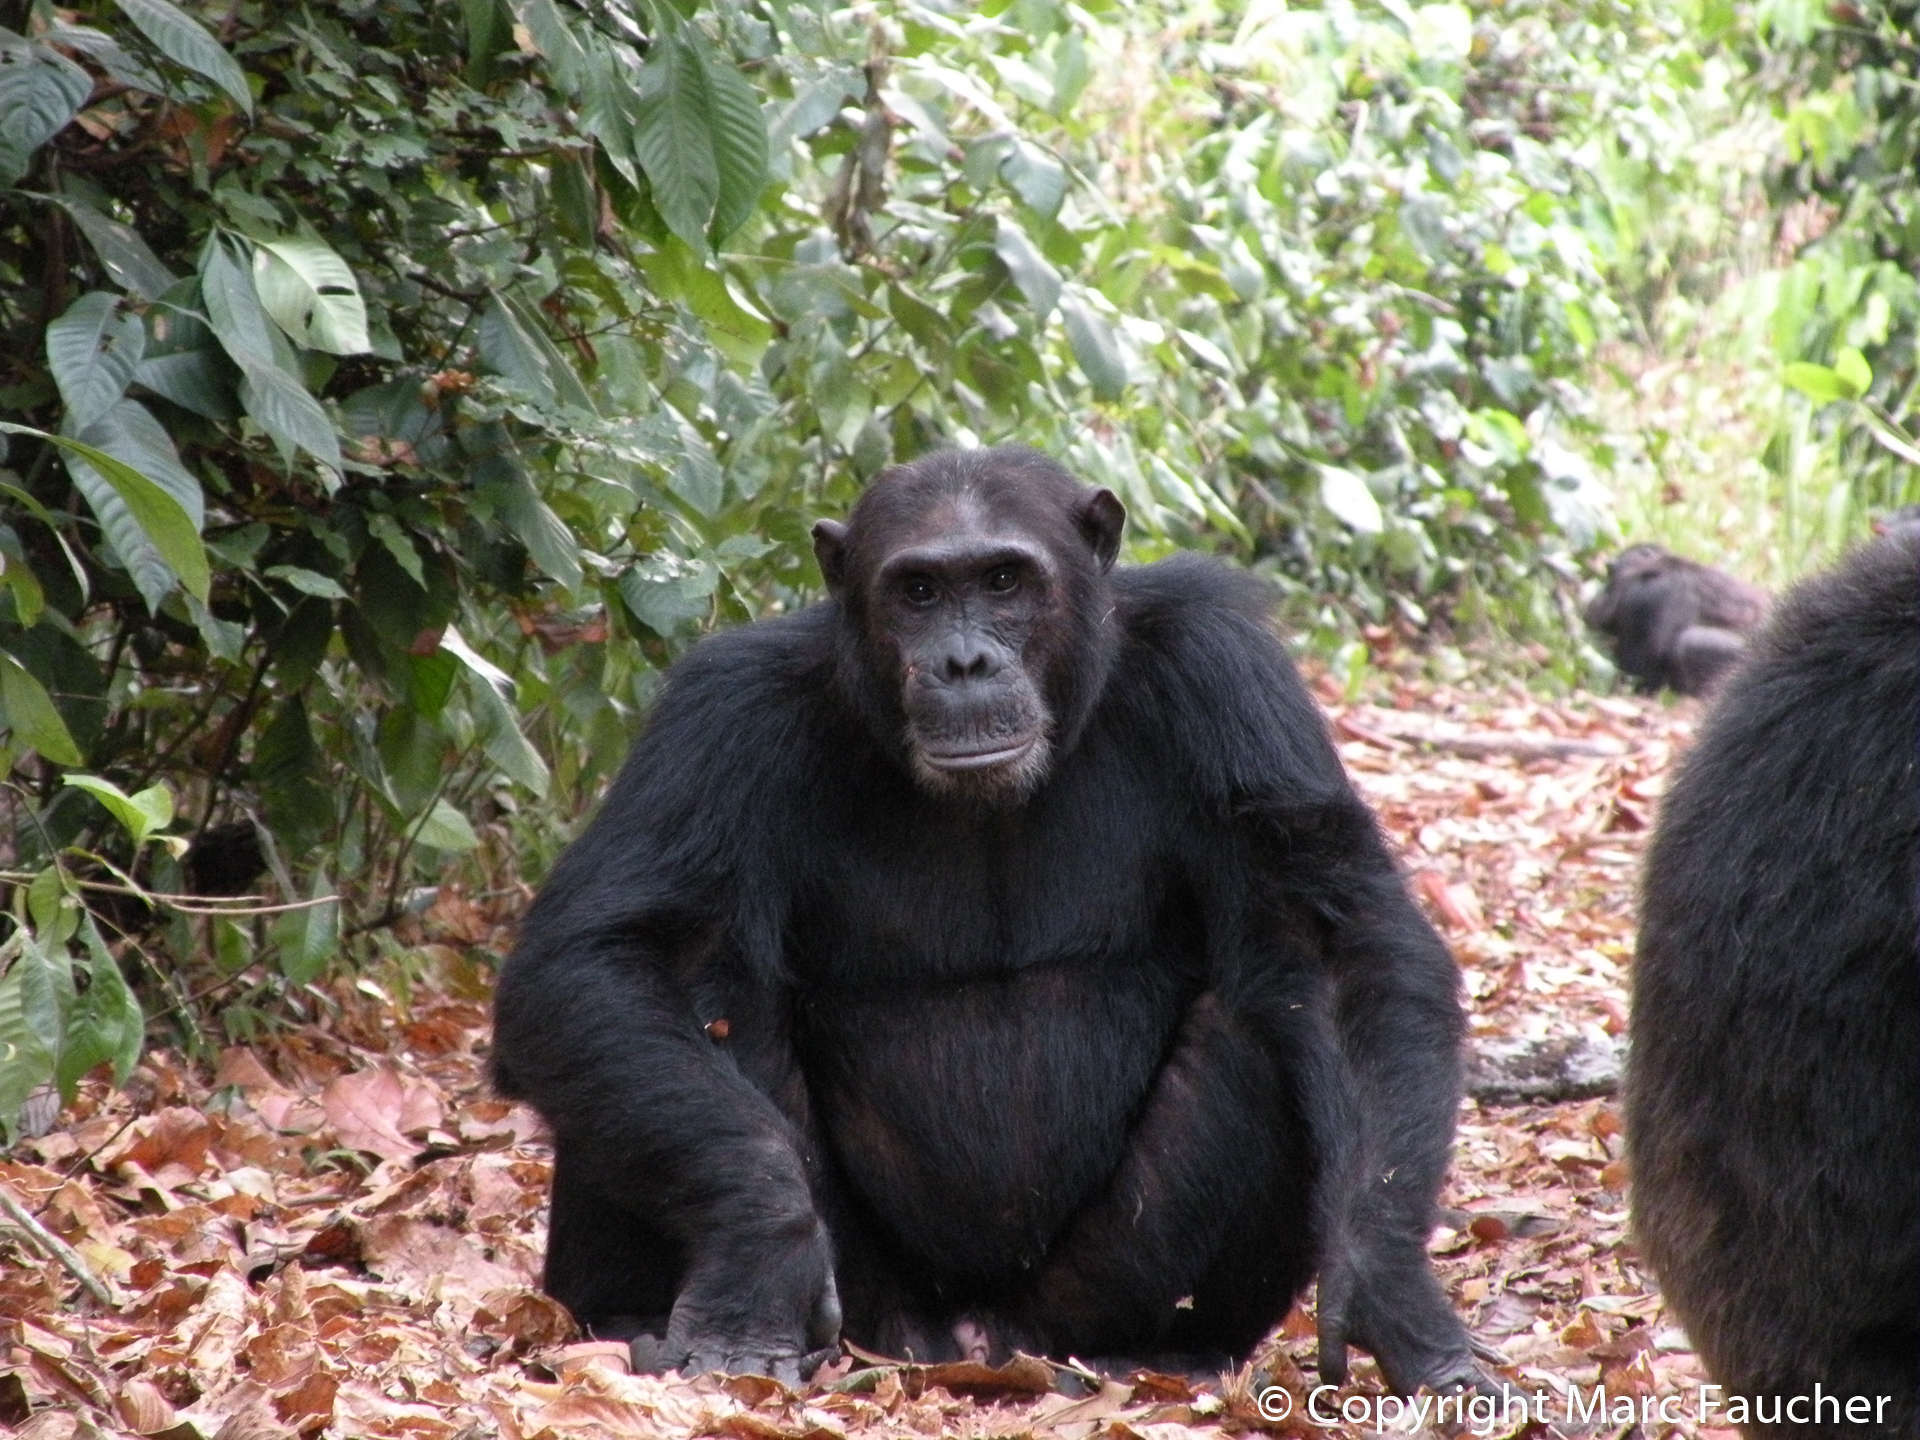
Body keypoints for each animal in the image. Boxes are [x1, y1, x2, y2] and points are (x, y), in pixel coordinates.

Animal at [487, 451, 1474, 1397]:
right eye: (919, 591)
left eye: (1004, 581)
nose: (965, 663)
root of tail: (973, 1341)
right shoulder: (722, 711)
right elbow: (609, 955)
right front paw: (756, 1258)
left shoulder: (1225, 671)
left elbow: (1335, 946)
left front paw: (1391, 1291)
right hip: (876, 1310)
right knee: (687, 999)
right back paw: (628, 1316)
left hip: (1088, 1297)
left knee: (1272, 1020)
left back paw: (1171, 1352)